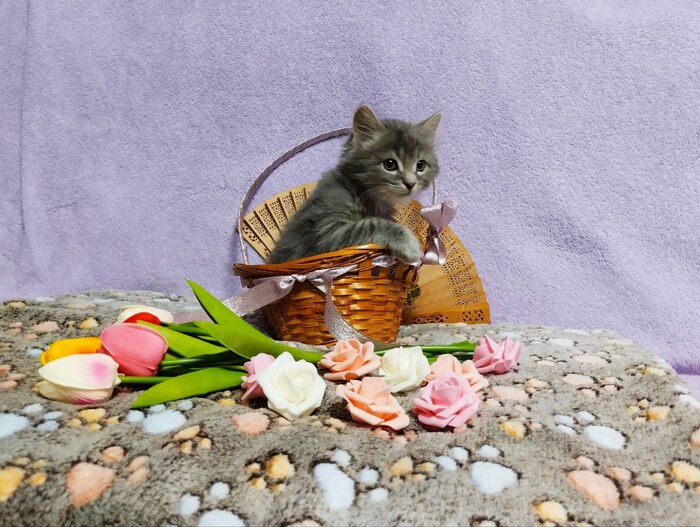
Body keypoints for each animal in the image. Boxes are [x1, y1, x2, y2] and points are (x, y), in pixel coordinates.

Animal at [267, 105, 441, 264]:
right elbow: (371, 224)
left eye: (420, 165)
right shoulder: (326, 235)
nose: (410, 183)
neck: (362, 193)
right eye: (390, 164)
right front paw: (409, 244)